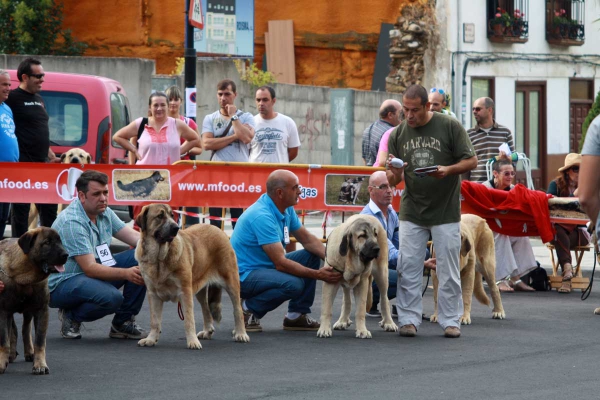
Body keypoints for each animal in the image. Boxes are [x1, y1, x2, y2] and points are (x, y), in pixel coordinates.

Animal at [0, 228, 68, 376]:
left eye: (60, 242)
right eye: (47, 242)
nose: (66, 254)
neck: (23, 276)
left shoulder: (41, 310)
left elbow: (40, 341)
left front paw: (40, 365)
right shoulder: (3, 311)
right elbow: (4, 341)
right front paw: (1, 362)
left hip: (28, 311)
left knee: (25, 329)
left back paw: (27, 352)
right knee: (13, 329)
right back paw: (10, 355)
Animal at [135, 205, 250, 348]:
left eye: (172, 215)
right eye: (160, 216)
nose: (175, 227)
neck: (159, 259)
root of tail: (217, 229)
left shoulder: (185, 292)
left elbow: (189, 320)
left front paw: (192, 341)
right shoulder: (153, 294)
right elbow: (155, 320)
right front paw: (151, 339)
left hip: (231, 282)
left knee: (237, 309)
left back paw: (240, 333)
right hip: (199, 289)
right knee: (206, 309)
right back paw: (207, 331)